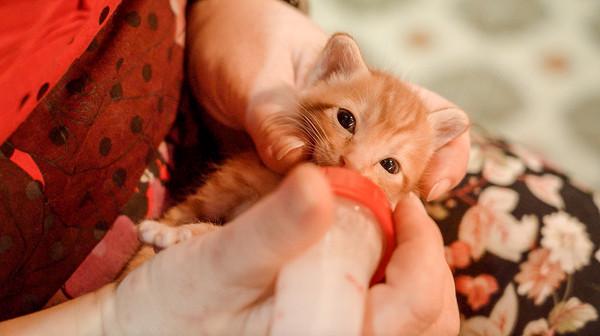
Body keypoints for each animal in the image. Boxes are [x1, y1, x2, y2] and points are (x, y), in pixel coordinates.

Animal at [126, 33, 472, 270]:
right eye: (346, 119)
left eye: (390, 165)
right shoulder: (216, 191)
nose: (349, 163)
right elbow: (178, 219)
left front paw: (177, 237)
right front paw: (156, 244)